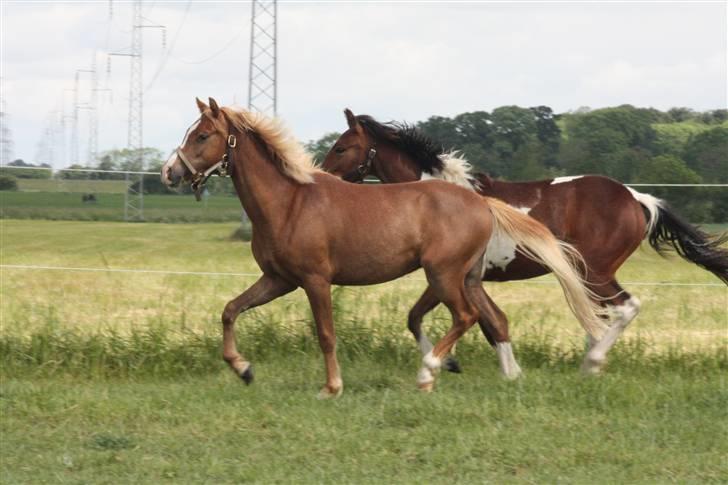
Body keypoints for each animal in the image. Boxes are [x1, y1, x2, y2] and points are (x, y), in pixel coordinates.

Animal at [162, 97, 604, 394]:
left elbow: (326, 334)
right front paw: (243, 368)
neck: (289, 203)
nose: (170, 173)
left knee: (466, 317)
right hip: (468, 278)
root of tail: (481, 201)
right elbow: (230, 310)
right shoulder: (277, 280)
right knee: (490, 319)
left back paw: (428, 372)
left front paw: (331, 387)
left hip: (442, 276)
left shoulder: (315, 281)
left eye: (203, 135)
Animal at [324, 110, 728, 374]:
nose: (321, 177)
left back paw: (592, 363)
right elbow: (431, 319)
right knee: (602, 314)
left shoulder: (453, 275)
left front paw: (492, 370)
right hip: (586, 274)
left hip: (595, 271)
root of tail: (637, 198)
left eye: (341, 148)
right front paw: (459, 363)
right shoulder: (451, 276)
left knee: (626, 308)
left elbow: (487, 323)